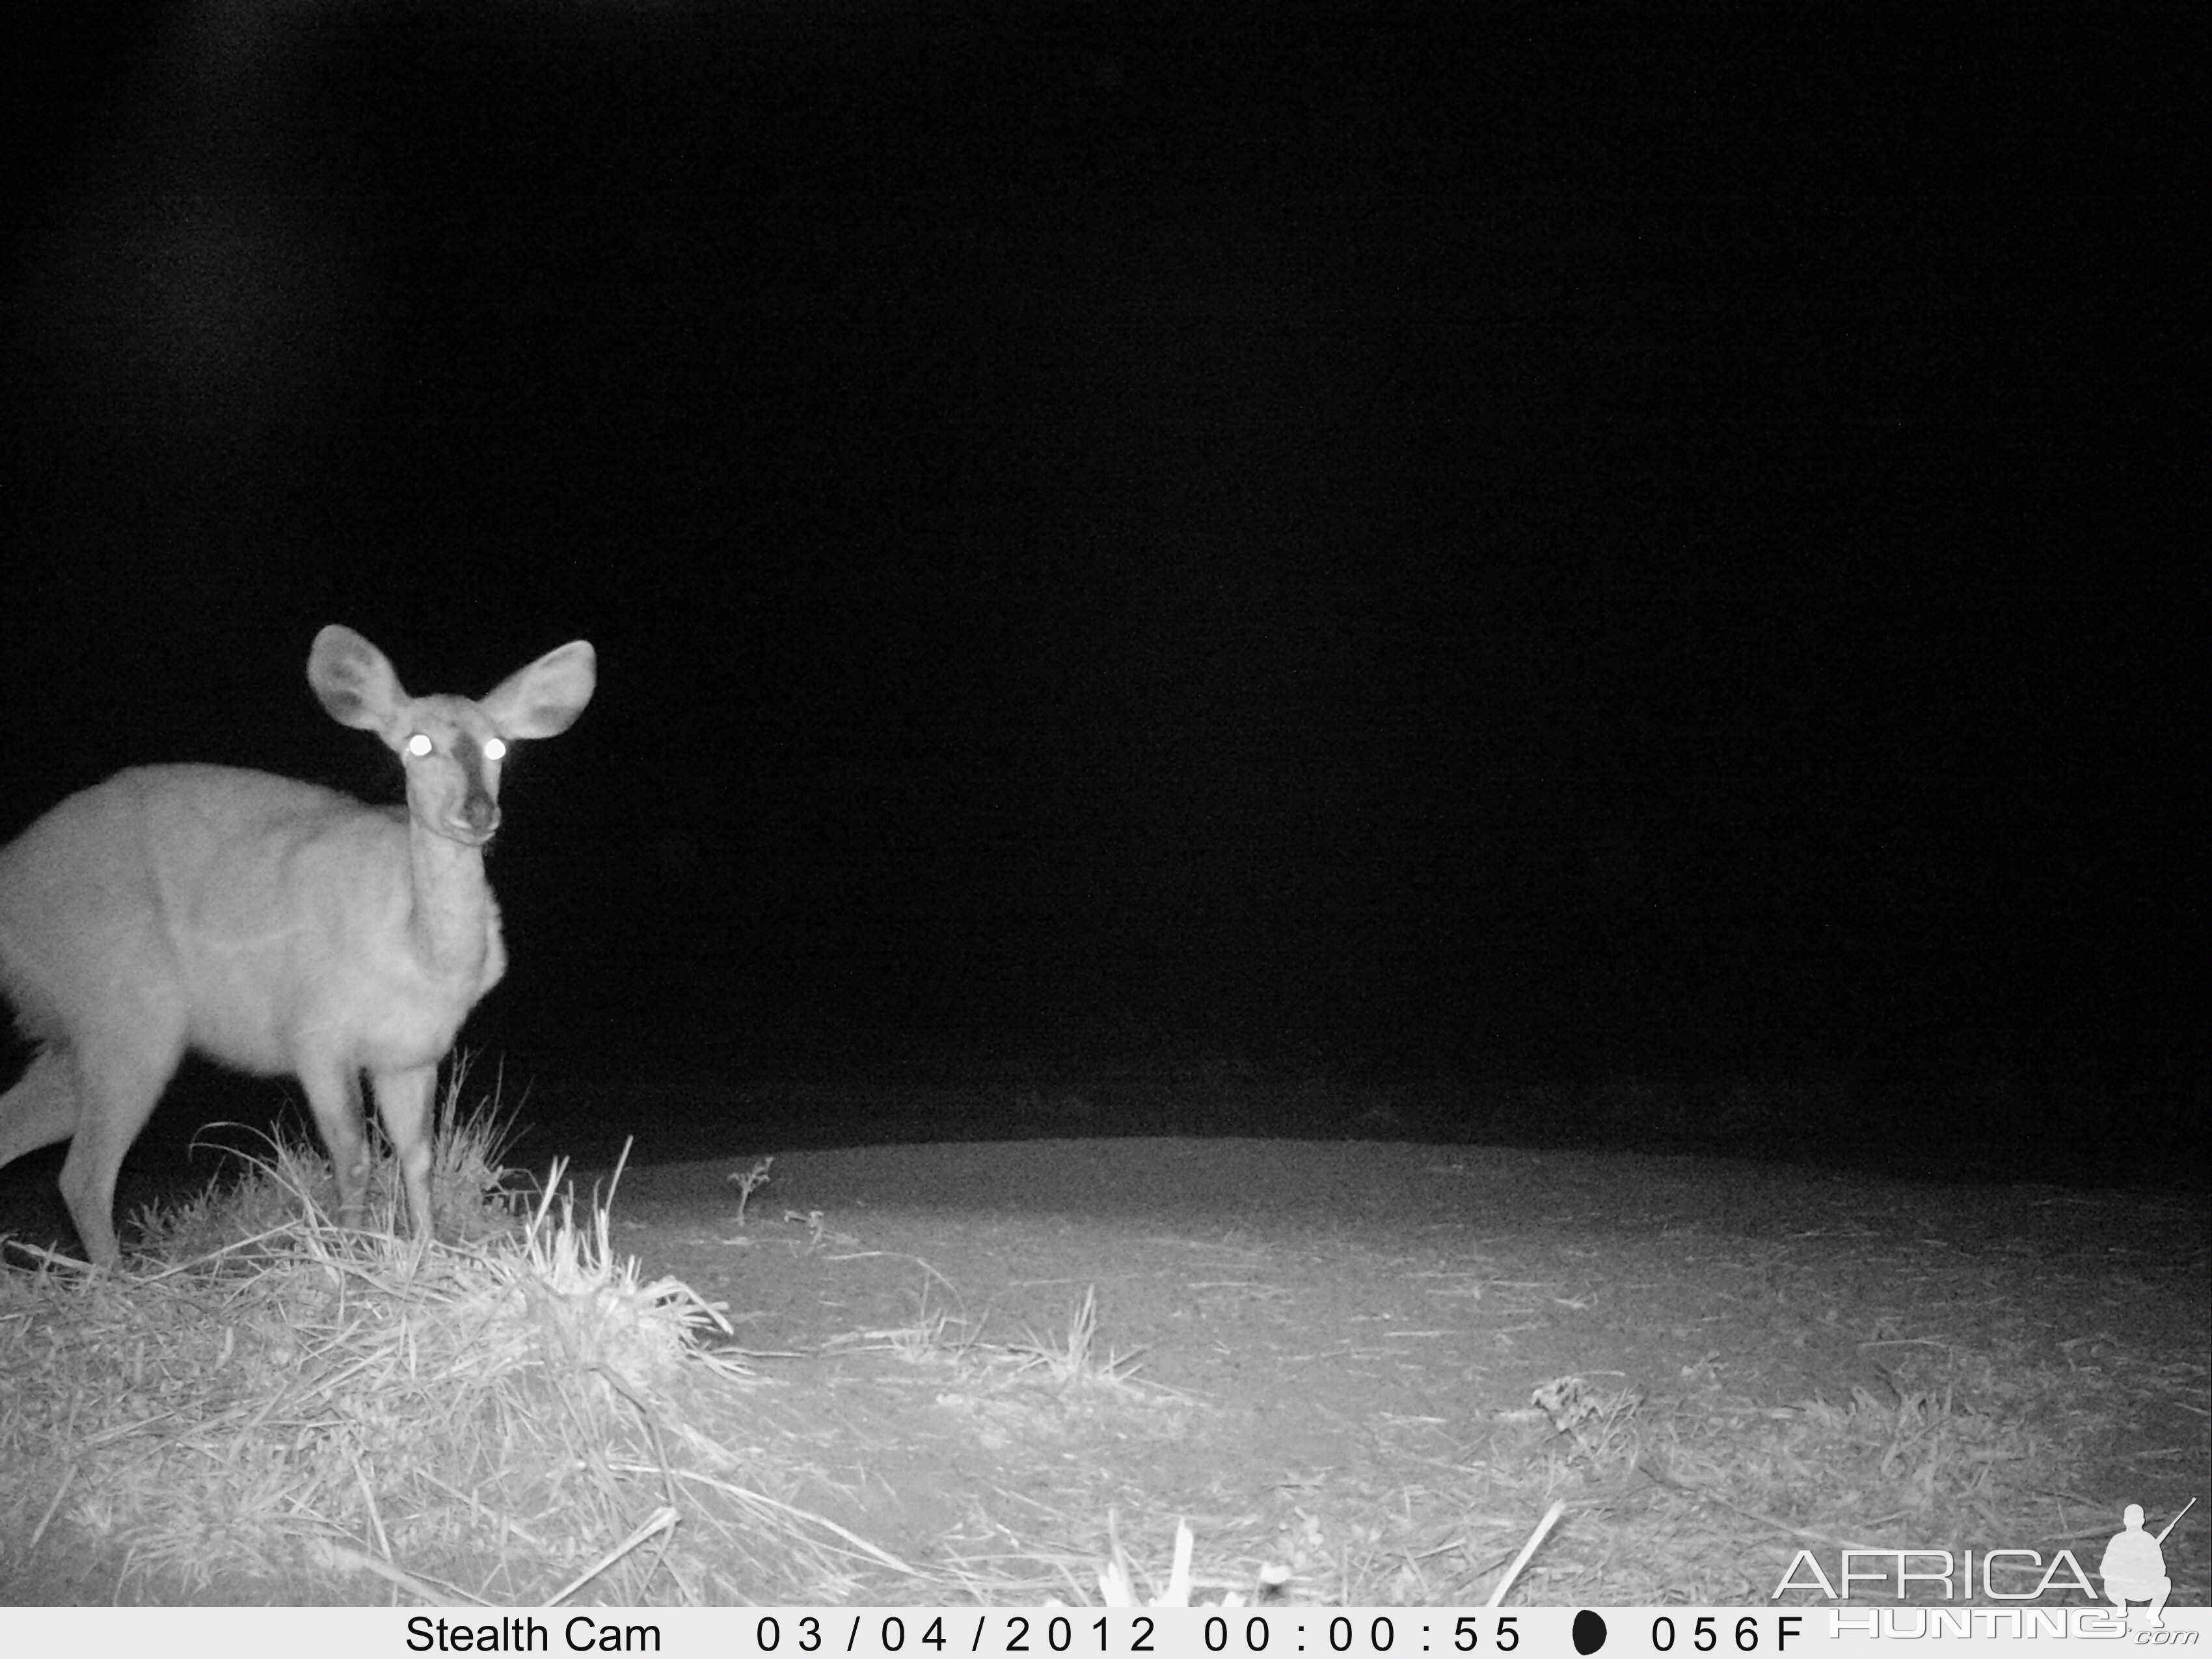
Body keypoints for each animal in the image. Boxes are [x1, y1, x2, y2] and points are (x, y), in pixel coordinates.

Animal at [0, 628, 597, 1265]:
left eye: (499, 748)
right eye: (417, 743)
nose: (479, 813)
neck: (418, 954)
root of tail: (10, 880)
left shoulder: (413, 1052)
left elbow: (418, 1160)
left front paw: (423, 1258)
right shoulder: (315, 1034)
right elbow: (355, 1159)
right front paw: (347, 1261)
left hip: (73, 1034)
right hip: (127, 1012)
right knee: (85, 1175)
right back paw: (122, 1279)